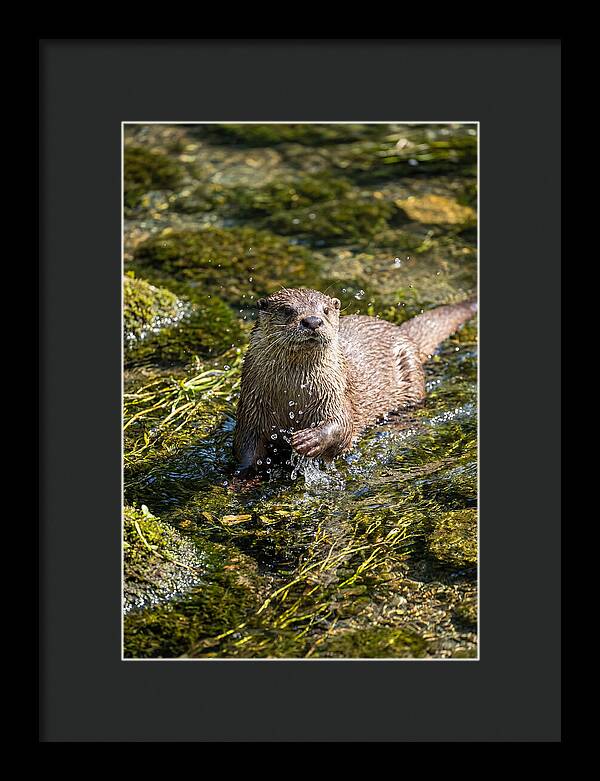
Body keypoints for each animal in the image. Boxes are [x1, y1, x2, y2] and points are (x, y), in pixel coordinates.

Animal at [233, 288, 477, 473]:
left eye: (325, 310)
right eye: (287, 310)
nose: (312, 321)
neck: (294, 395)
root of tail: (402, 332)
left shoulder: (336, 393)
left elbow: (342, 425)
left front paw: (309, 440)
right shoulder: (251, 408)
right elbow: (245, 449)